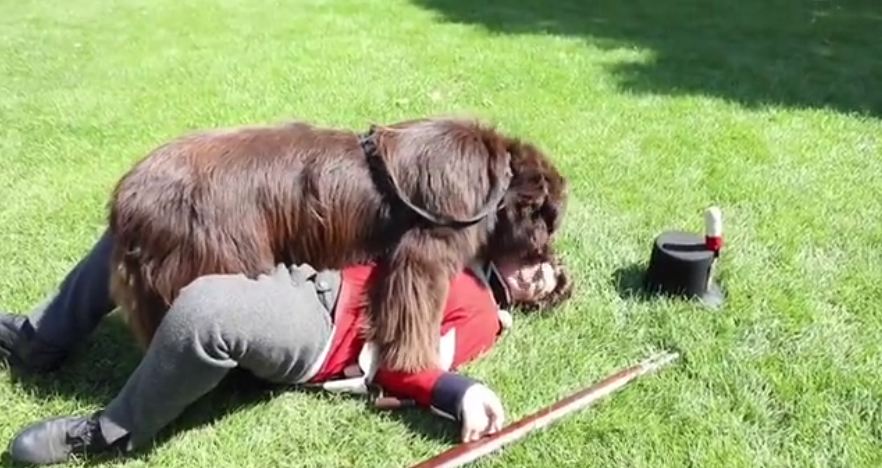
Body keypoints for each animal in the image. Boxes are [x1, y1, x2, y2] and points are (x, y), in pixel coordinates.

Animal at [106, 118, 568, 372]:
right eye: (548, 220)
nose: (547, 254)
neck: (499, 176)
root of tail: (125, 204)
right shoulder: (444, 223)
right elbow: (416, 293)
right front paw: (414, 362)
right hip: (215, 252)